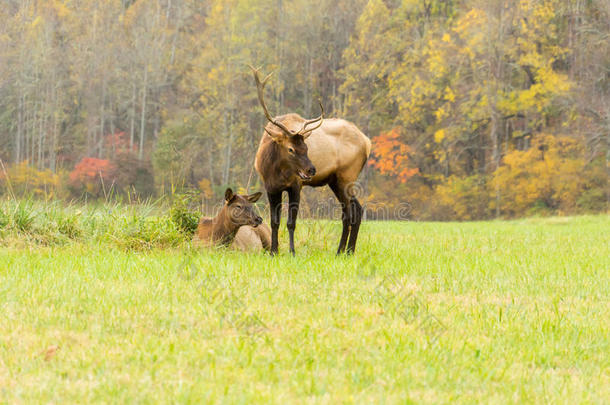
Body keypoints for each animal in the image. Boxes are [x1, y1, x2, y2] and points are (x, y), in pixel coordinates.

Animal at [247, 66, 370, 256]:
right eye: (291, 149)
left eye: (306, 147)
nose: (311, 169)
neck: (273, 169)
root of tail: (367, 142)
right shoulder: (270, 187)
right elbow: (275, 222)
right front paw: (274, 252)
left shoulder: (295, 185)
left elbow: (291, 223)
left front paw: (292, 252)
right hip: (335, 181)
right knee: (354, 210)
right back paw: (347, 251)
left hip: (347, 176)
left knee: (350, 213)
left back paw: (342, 251)